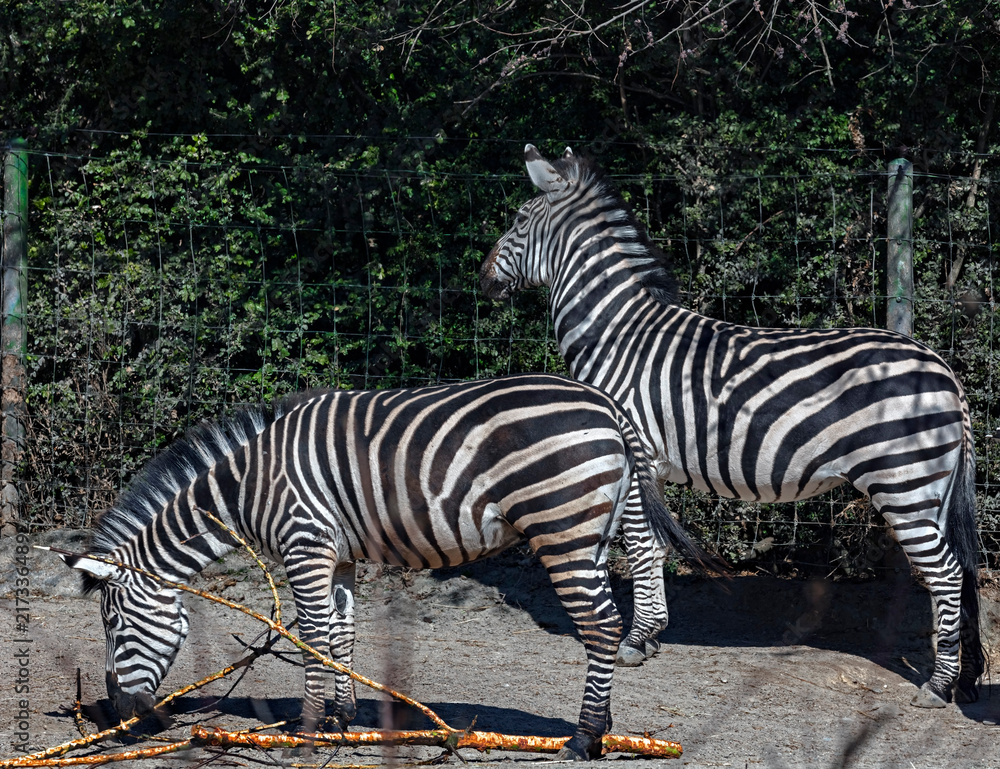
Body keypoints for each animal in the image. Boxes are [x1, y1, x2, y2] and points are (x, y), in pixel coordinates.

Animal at [50, 373, 720, 761]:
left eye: (113, 626)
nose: (120, 715)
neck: (245, 488)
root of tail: (606, 401)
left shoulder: (304, 543)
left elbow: (313, 633)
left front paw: (307, 729)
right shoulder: (338, 554)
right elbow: (340, 634)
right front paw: (342, 719)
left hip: (562, 527)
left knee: (601, 627)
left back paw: (583, 738)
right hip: (597, 526)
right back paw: (602, 728)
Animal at [479, 144, 985, 708]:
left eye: (519, 220)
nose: (480, 278)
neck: (617, 334)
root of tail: (941, 366)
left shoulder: (634, 452)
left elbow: (640, 545)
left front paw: (634, 641)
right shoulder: (650, 466)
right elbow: (655, 546)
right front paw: (651, 635)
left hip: (903, 482)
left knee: (946, 573)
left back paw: (937, 686)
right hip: (931, 485)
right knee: (961, 570)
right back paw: (963, 678)